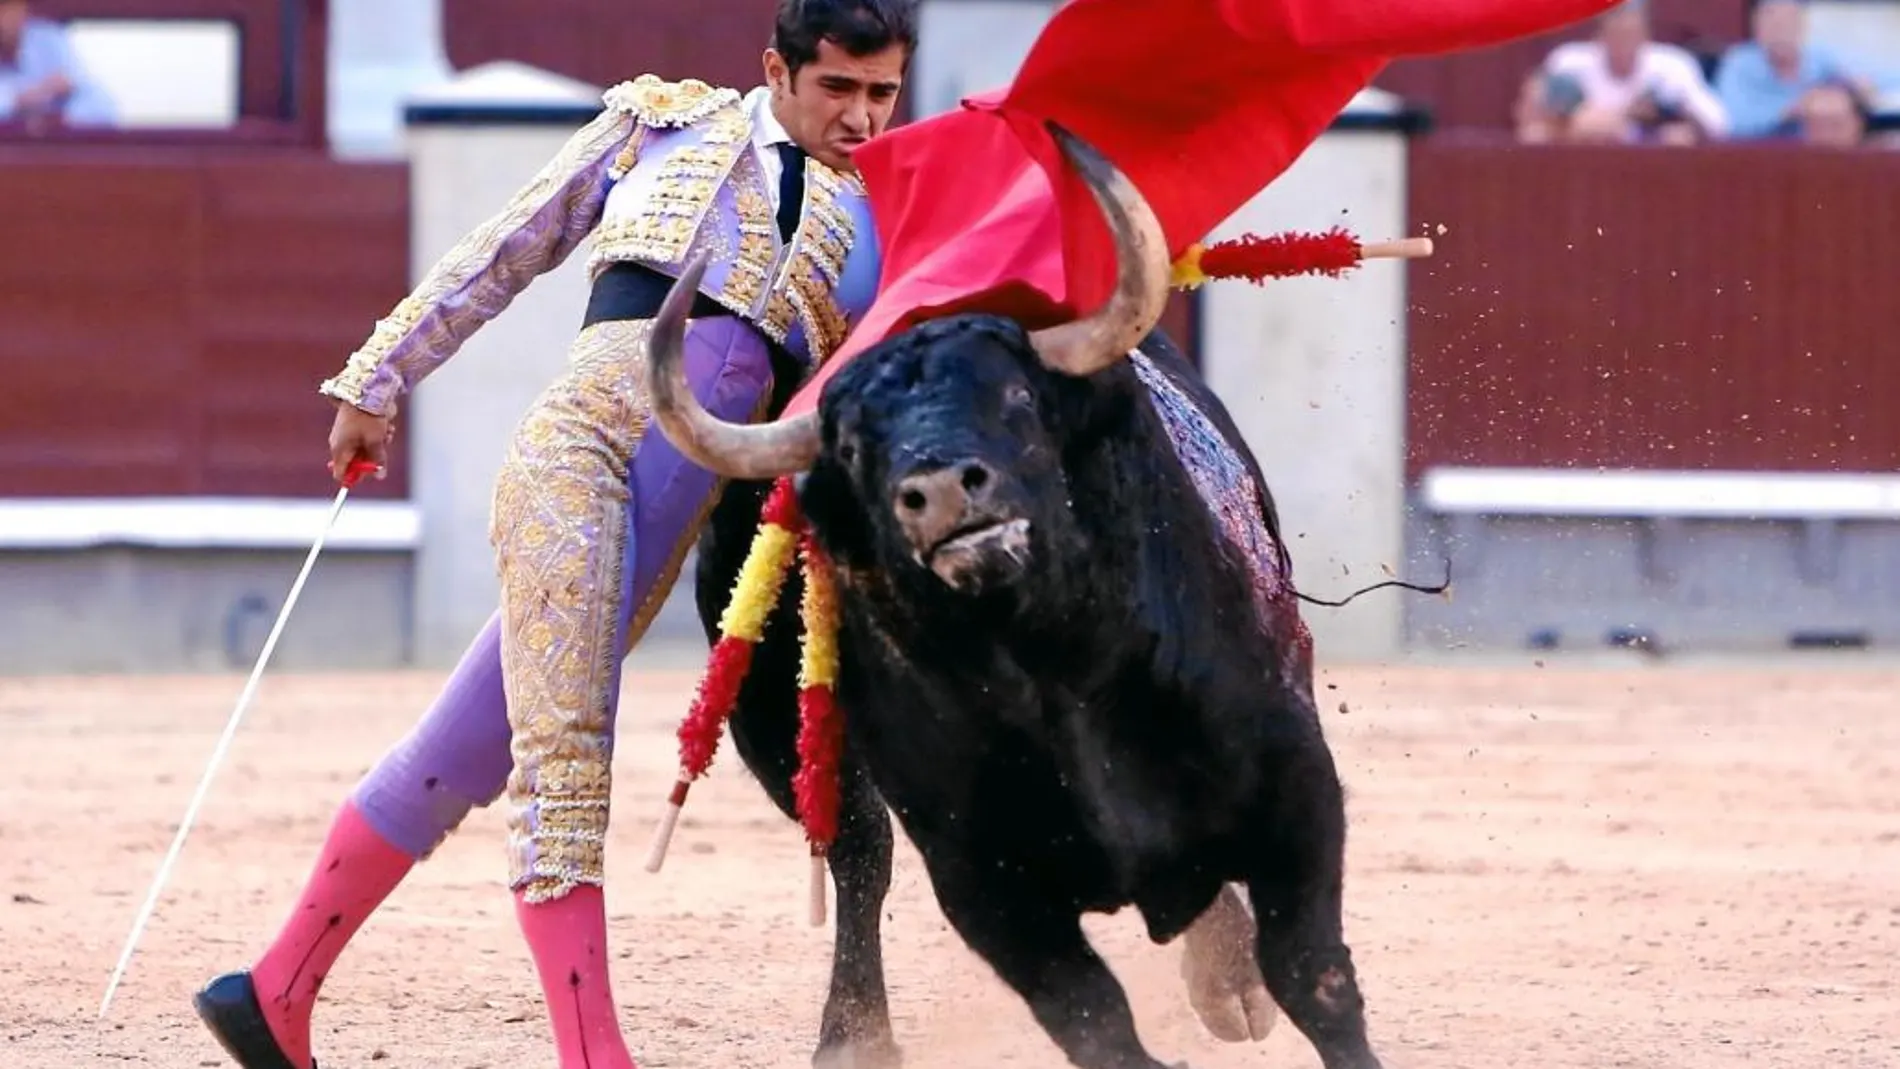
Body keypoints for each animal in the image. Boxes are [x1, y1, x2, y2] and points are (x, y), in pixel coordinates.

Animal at [653, 125, 1383, 1069]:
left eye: (1015, 395)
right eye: (853, 445)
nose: (939, 490)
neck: (1050, 667)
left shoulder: (1294, 783)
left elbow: (1312, 973)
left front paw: (1257, 983)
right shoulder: (986, 886)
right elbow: (1093, 1020)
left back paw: (1229, 986)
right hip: (772, 723)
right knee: (858, 848)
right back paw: (854, 1036)